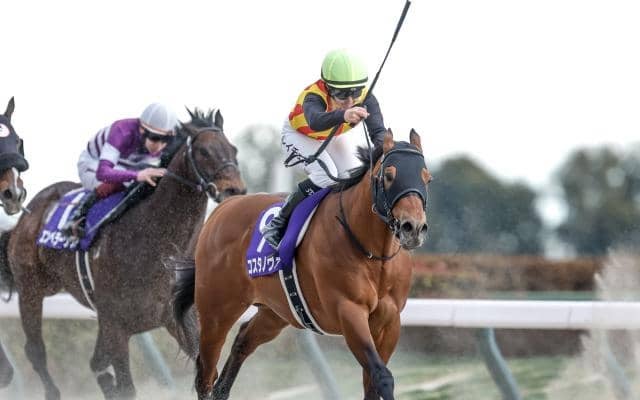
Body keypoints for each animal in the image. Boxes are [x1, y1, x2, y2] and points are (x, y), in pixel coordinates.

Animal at [0, 108, 246, 400]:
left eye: (233, 149)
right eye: (204, 151)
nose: (235, 190)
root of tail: (27, 214)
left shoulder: (179, 319)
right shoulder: (117, 327)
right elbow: (127, 387)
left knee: (95, 363)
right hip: (32, 289)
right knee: (36, 350)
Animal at [173, 129, 430, 400]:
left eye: (427, 178)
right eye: (389, 176)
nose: (413, 227)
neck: (371, 251)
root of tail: (222, 209)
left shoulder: (389, 321)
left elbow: (372, 383)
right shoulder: (349, 311)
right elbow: (382, 376)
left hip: (275, 312)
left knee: (242, 341)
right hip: (216, 312)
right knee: (205, 374)